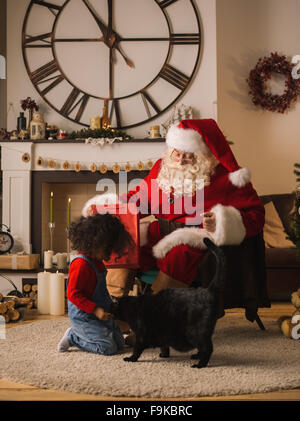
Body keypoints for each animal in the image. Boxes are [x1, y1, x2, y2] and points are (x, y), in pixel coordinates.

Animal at [111, 236, 226, 368]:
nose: (109, 315)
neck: (131, 306)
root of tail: (208, 290)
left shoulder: (141, 335)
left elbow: (137, 349)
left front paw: (131, 359)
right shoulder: (161, 333)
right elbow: (164, 346)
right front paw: (164, 355)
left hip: (195, 332)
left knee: (207, 348)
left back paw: (200, 364)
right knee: (203, 348)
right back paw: (196, 357)